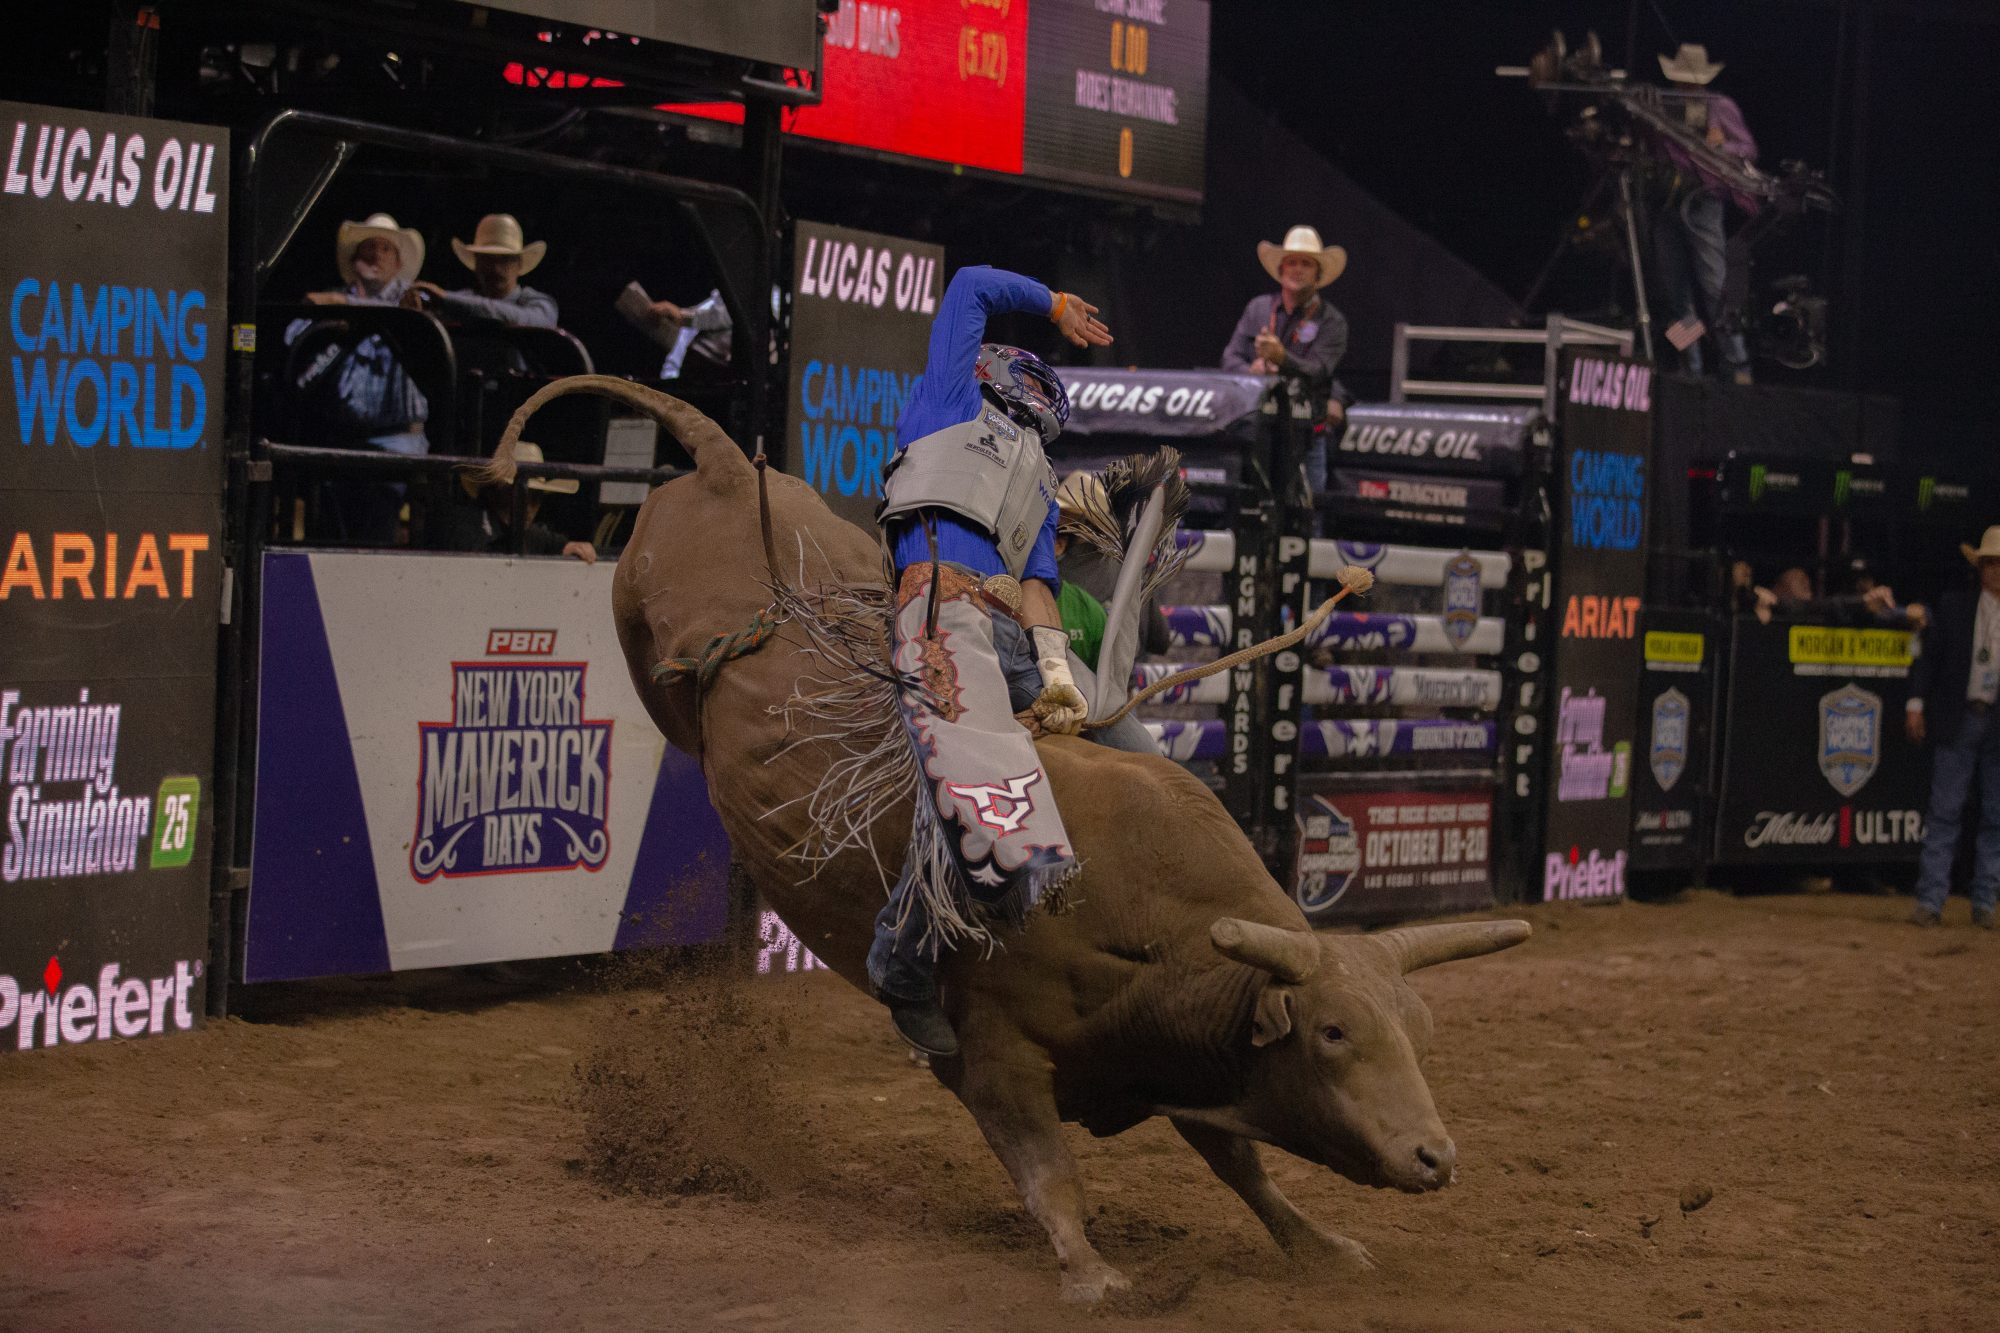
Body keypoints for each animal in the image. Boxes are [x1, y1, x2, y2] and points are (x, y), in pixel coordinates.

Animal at [488, 376, 1528, 1296]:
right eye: (1334, 1030)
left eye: (1419, 1031)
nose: (1435, 1155)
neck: (1141, 916)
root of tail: (718, 469)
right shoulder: (996, 1055)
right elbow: (1049, 1170)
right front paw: (1092, 1272)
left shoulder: (1180, 1051)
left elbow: (1241, 1163)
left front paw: (1320, 1246)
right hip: (641, 625)